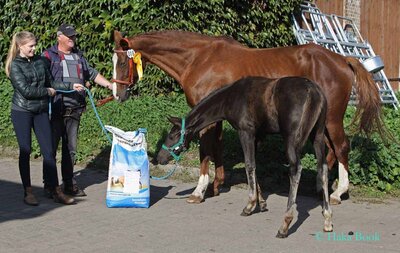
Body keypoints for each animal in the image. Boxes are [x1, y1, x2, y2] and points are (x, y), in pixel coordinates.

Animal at [110, 30, 384, 204]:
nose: (117, 94)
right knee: (328, 149)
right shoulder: (216, 116)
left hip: (332, 118)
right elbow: (217, 148)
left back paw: (338, 193)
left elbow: (205, 151)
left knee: (341, 147)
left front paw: (200, 190)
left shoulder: (206, 116)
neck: (198, 58)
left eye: (122, 62)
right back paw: (322, 188)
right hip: (320, 121)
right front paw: (217, 184)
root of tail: (343, 59)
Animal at [156, 76, 332, 238]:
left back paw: (285, 225)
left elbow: (249, 165)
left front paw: (250, 205)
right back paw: (328, 220)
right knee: (323, 168)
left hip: (292, 139)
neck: (229, 99)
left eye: (172, 135)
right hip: (318, 135)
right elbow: (254, 165)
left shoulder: (245, 132)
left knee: (296, 170)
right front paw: (261, 203)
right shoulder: (258, 135)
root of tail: (313, 92)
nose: (159, 158)